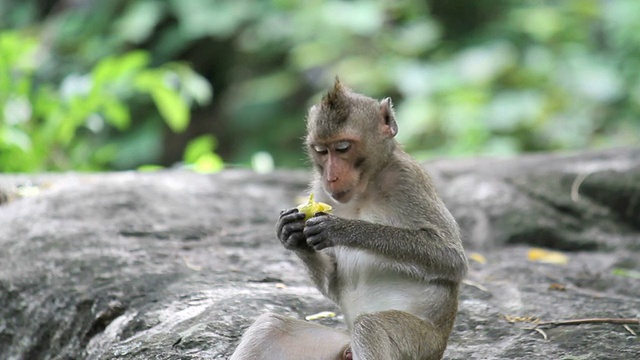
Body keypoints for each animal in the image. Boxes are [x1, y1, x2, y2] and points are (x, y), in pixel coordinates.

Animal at [229, 79, 464, 360]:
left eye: (343, 148)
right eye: (321, 150)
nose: (331, 177)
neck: (366, 185)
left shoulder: (408, 179)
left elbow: (450, 258)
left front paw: (342, 229)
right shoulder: (320, 190)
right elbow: (334, 279)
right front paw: (292, 233)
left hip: (421, 346)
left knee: (370, 327)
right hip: (337, 344)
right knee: (270, 327)